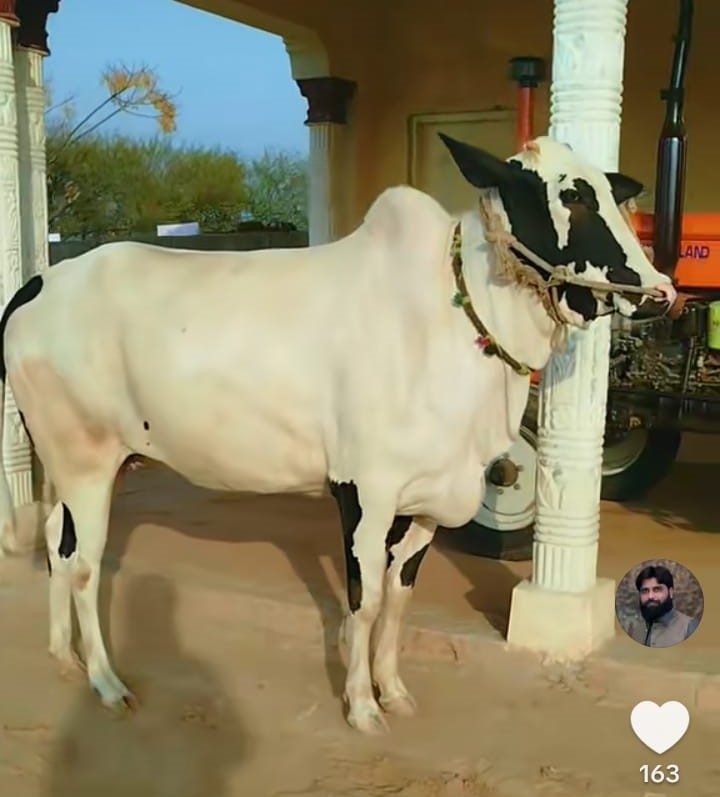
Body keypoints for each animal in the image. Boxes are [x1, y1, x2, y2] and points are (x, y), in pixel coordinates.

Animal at [0, 135, 675, 735]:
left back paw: (64, 658)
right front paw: (362, 706)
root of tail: (41, 282)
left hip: (72, 463)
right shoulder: (363, 490)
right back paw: (106, 682)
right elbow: (365, 600)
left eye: (613, 192)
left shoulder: (427, 499)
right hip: (87, 461)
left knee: (59, 550)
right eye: (571, 196)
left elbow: (399, 598)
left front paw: (394, 690)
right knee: (85, 567)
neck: (449, 320)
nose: (660, 293)